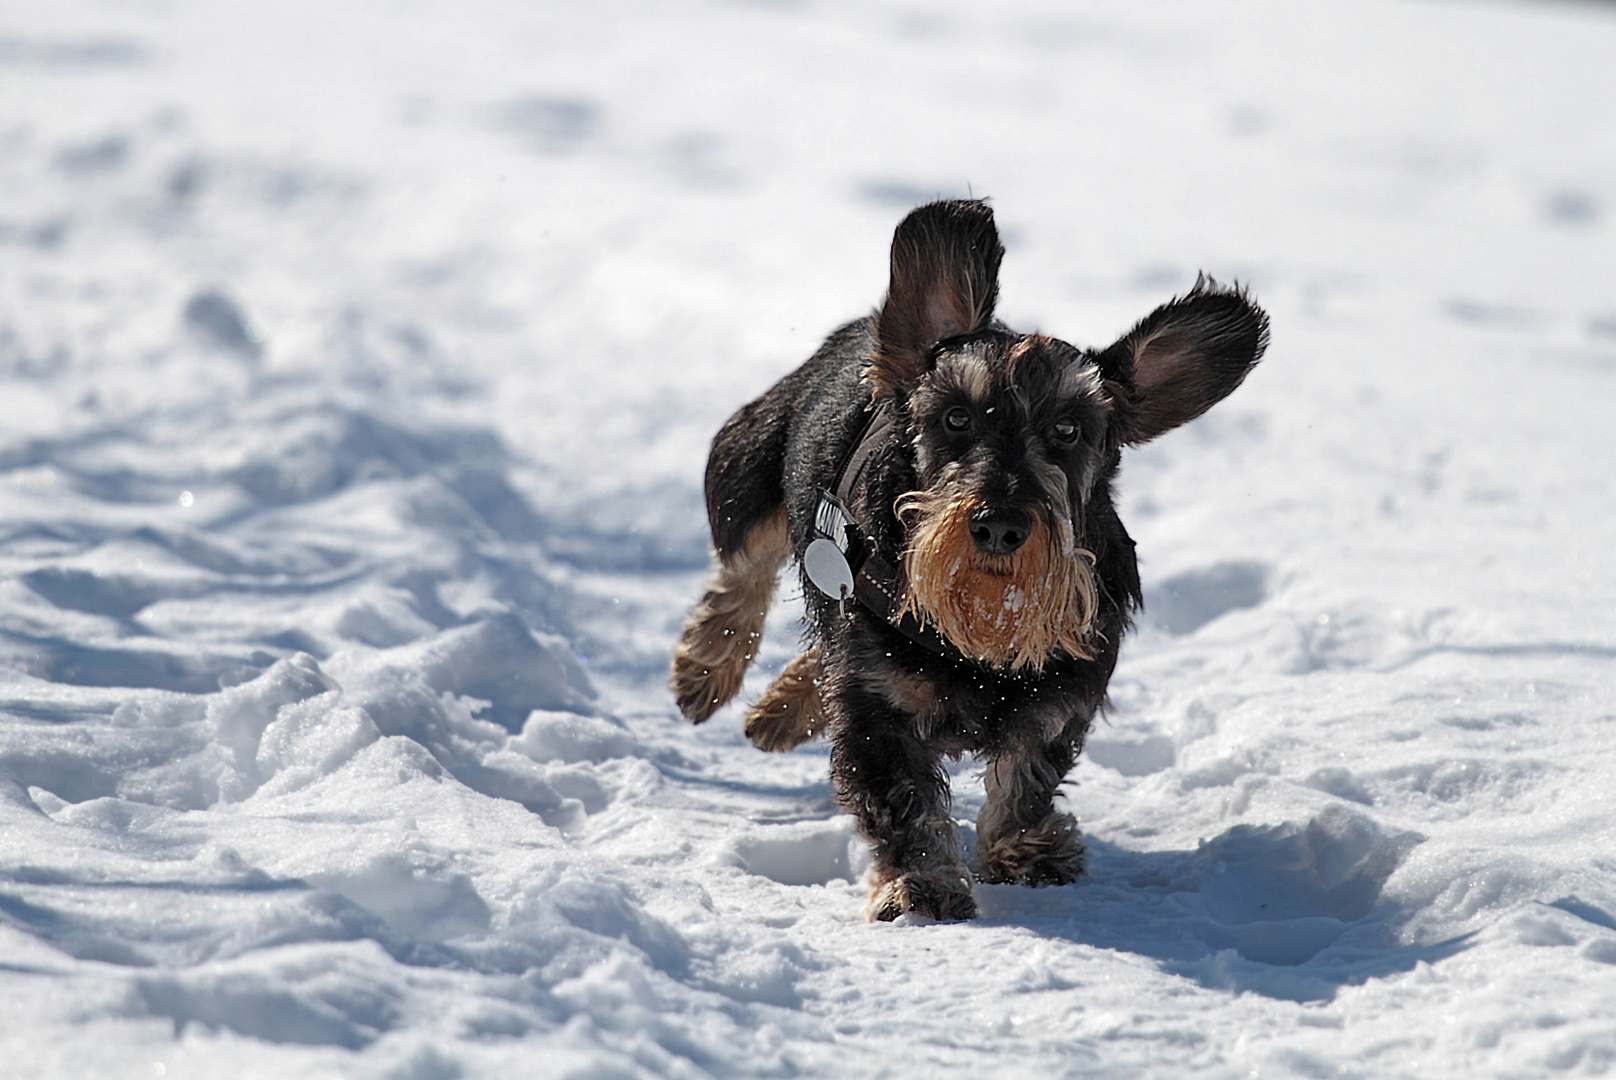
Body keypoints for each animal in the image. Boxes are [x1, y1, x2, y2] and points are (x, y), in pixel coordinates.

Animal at [665, 200, 1260, 918]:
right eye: (955, 418)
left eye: (1069, 430)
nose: (999, 525)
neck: (982, 626)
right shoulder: (878, 711)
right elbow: (905, 801)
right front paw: (922, 885)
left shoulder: (1061, 696)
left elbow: (1025, 775)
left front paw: (1024, 852)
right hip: (751, 472)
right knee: (744, 572)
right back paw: (707, 670)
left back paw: (781, 712)